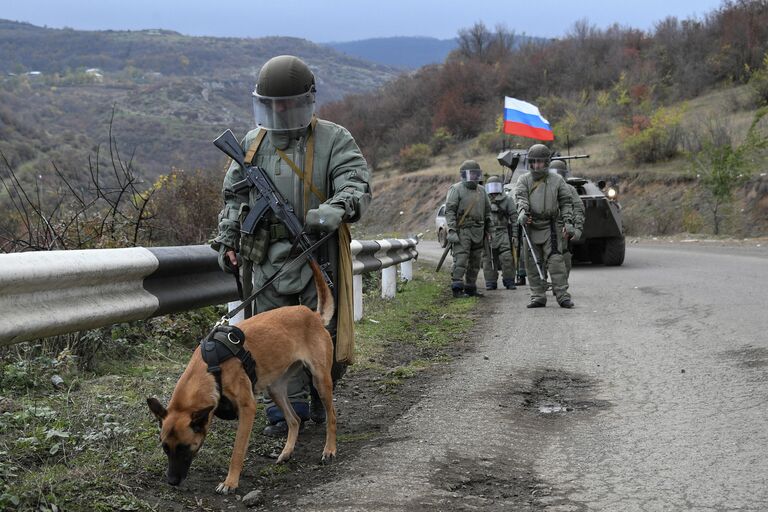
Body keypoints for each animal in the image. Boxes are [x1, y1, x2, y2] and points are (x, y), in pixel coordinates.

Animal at [146, 260, 334, 492]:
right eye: (165, 448)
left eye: (184, 447)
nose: (172, 481)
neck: (211, 369)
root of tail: (313, 316)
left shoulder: (247, 408)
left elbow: (237, 450)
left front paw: (230, 482)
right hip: (275, 389)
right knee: (295, 419)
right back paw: (286, 452)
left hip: (320, 381)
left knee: (331, 416)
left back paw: (329, 450)